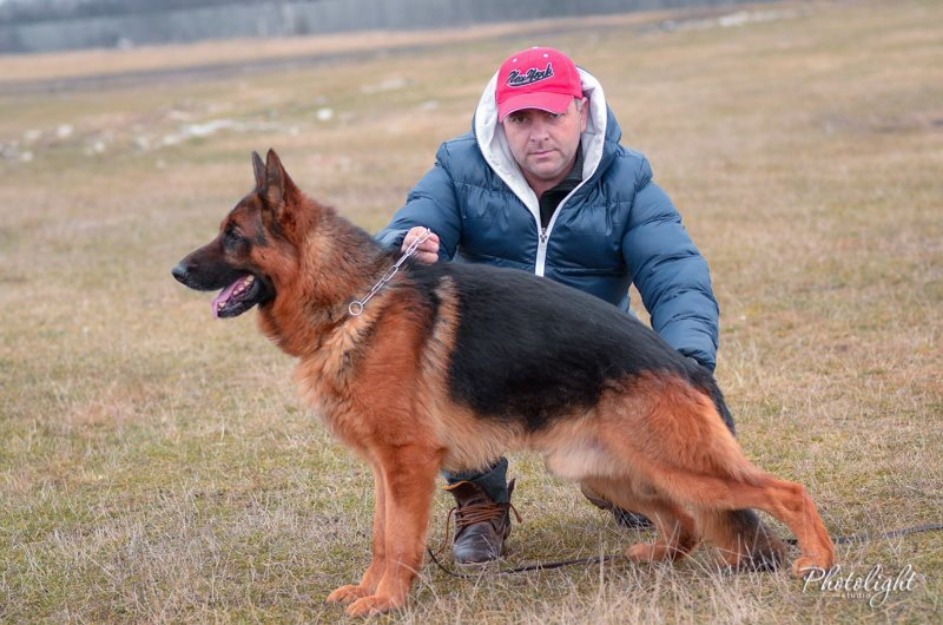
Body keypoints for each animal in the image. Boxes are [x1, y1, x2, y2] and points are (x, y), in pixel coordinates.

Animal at [171, 150, 832, 616]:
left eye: (234, 235)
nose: (176, 270)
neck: (353, 303)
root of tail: (685, 364)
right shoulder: (387, 468)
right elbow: (381, 537)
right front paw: (368, 591)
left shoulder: (407, 463)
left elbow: (399, 542)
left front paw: (386, 601)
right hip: (607, 470)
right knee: (686, 520)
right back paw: (657, 555)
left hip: (678, 462)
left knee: (786, 491)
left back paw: (818, 560)